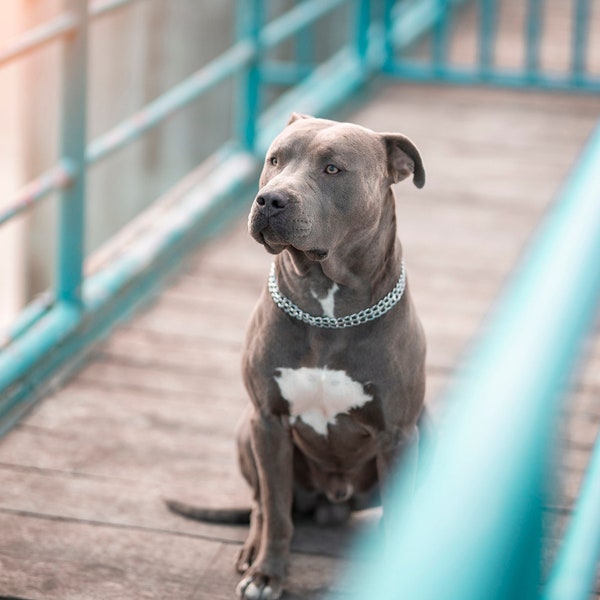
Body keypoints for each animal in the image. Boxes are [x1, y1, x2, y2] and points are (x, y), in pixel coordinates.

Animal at [168, 113, 426, 600]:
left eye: (333, 169)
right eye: (275, 159)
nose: (270, 199)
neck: (328, 305)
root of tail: (334, 503)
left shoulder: (398, 435)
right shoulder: (268, 422)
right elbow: (275, 509)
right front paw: (267, 574)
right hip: (245, 431)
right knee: (260, 505)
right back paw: (252, 549)